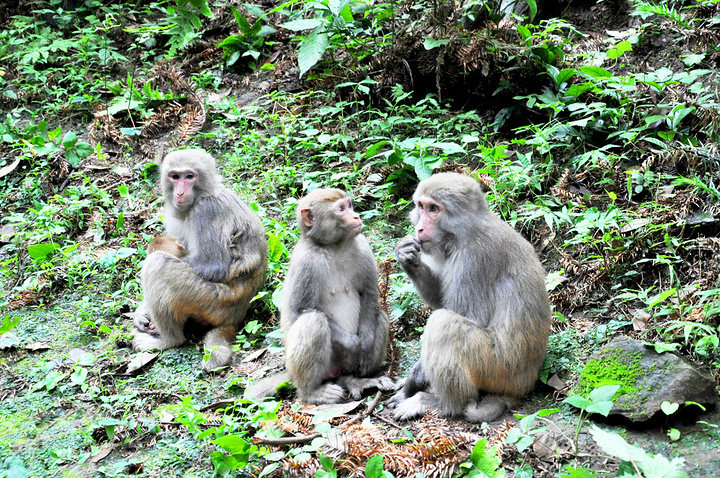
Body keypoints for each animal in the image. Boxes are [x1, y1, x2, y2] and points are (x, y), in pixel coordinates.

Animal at [131, 149, 268, 370]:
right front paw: (141, 312)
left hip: (214, 302)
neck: (201, 195)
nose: (179, 193)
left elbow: (215, 266)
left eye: (189, 176)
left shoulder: (206, 210)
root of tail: (237, 316)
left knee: (158, 265)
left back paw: (169, 341)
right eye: (174, 176)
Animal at [248, 188, 394, 404]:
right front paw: (352, 345)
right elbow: (300, 311)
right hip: (317, 365)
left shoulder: (362, 246)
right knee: (313, 321)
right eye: (341, 209)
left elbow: (369, 295)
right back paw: (311, 392)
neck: (334, 247)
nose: (356, 216)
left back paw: (355, 380)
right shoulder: (306, 263)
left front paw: (366, 345)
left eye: (349, 205)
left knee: (379, 315)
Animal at [388, 172, 552, 422]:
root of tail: (523, 386)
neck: (464, 234)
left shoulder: (473, 260)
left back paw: (443, 404)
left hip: (498, 367)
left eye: (434, 209)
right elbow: (440, 300)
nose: (420, 229)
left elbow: (469, 316)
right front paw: (407, 257)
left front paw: (415, 379)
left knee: (444, 324)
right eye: (421, 206)